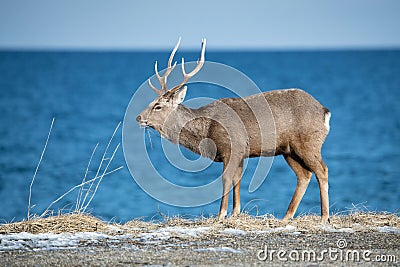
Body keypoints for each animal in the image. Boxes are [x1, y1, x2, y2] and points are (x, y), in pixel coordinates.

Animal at [136, 38, 330, 224]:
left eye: (158, 106)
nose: (138, 117)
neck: (206, 133)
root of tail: (325, 111)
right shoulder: (241, 152)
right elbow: (237, 179)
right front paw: (235, 213)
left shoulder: (232, 146)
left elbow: (226, 178)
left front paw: (221, 214)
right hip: (288, 150)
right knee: (304, 175)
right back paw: (287, 217)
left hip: (308, 143)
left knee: (322, 170)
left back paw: (324, 217)